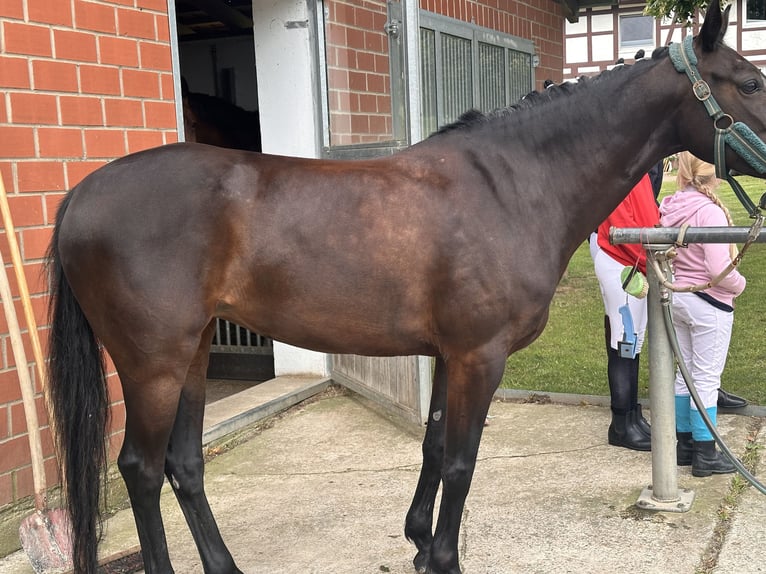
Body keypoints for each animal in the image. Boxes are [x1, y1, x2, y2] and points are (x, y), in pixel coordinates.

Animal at [48, 2, 766, 572]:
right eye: (752, 81)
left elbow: (434, 442)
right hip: (154, 365)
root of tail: (82, 193)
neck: (513, 185)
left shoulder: (450, 355)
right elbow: (461, 460)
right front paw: (445, 557)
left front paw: (419, 542)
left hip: (192, 355)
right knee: (141, 471)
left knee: (185, 465)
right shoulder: (479, 356)